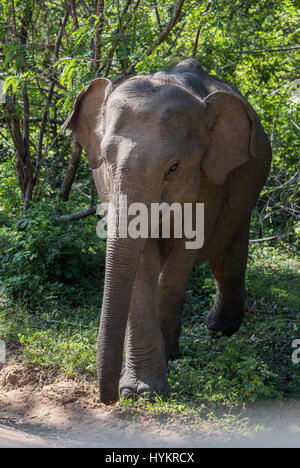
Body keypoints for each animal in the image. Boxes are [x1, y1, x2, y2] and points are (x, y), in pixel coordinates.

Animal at [62, 57, 272, 402]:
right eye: (105, 158)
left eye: (174, 167)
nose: (108, 398)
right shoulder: (104, 183)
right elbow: (142, 264)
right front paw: (138, 389)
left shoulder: (210, 181)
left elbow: (180, 260)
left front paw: (154, 377)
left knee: (226, 263)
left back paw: (219, 329)